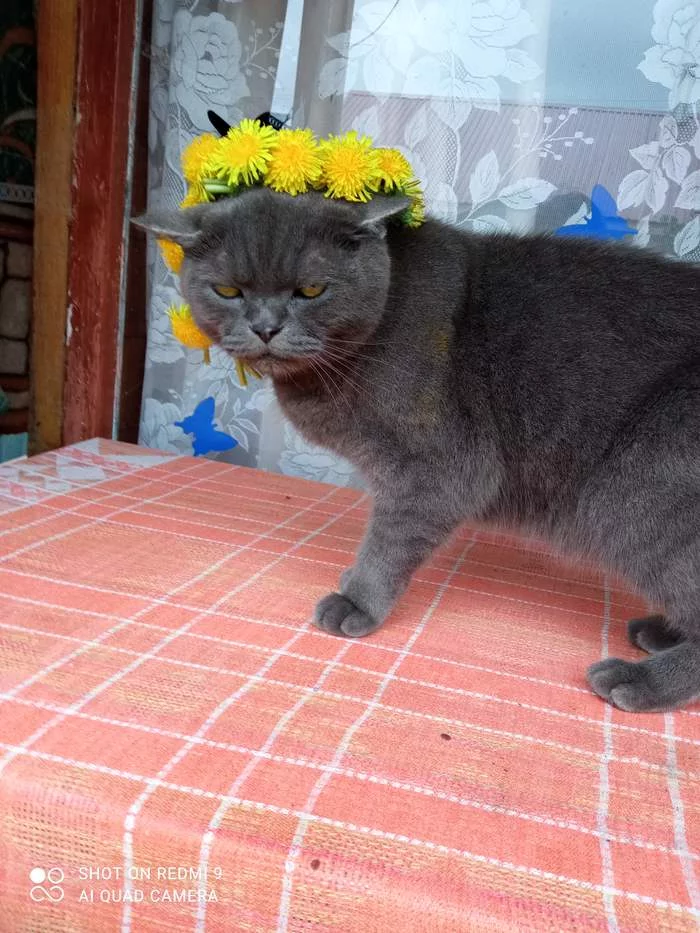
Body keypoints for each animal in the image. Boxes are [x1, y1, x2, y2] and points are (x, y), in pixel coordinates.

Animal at [137, 191, 700, 712]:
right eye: (228, 291)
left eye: (312, 290)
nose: (266, 328)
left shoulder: (440, 469)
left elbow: (388, 541)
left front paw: (357, 599)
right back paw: (659, 632)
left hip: (636, 493)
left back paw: (637, 680)